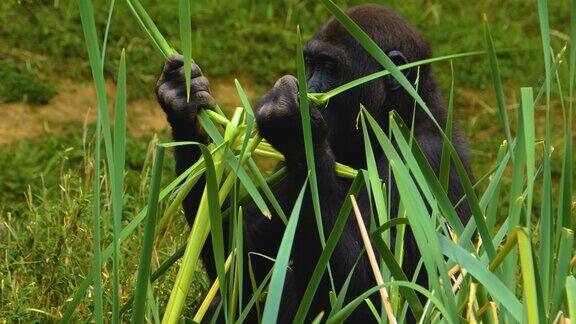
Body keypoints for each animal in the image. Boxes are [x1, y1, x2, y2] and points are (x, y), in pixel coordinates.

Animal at [154, 3, 472, 322]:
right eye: (310, 64)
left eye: (330, 68)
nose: (311, 89)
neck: (401, 115)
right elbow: (240, 261)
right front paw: (182, 98)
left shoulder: (422, 158)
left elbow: (370, 294)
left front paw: (292, 124)